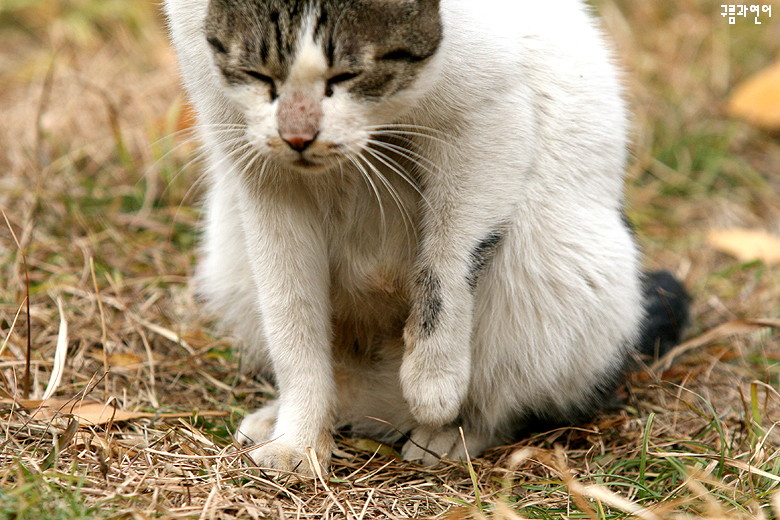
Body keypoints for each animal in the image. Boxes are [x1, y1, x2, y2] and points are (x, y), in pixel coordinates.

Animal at [165, 0, 688, 474]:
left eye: (349, 75)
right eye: (259, 74)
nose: (298, 136)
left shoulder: (487, 128)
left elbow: (447, 269)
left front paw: (434, 385)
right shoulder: (261, 172)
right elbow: (292, 321)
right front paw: (298, 443)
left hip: (554, 265)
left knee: (511, 397)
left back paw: (447, 432)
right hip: (229, 249)